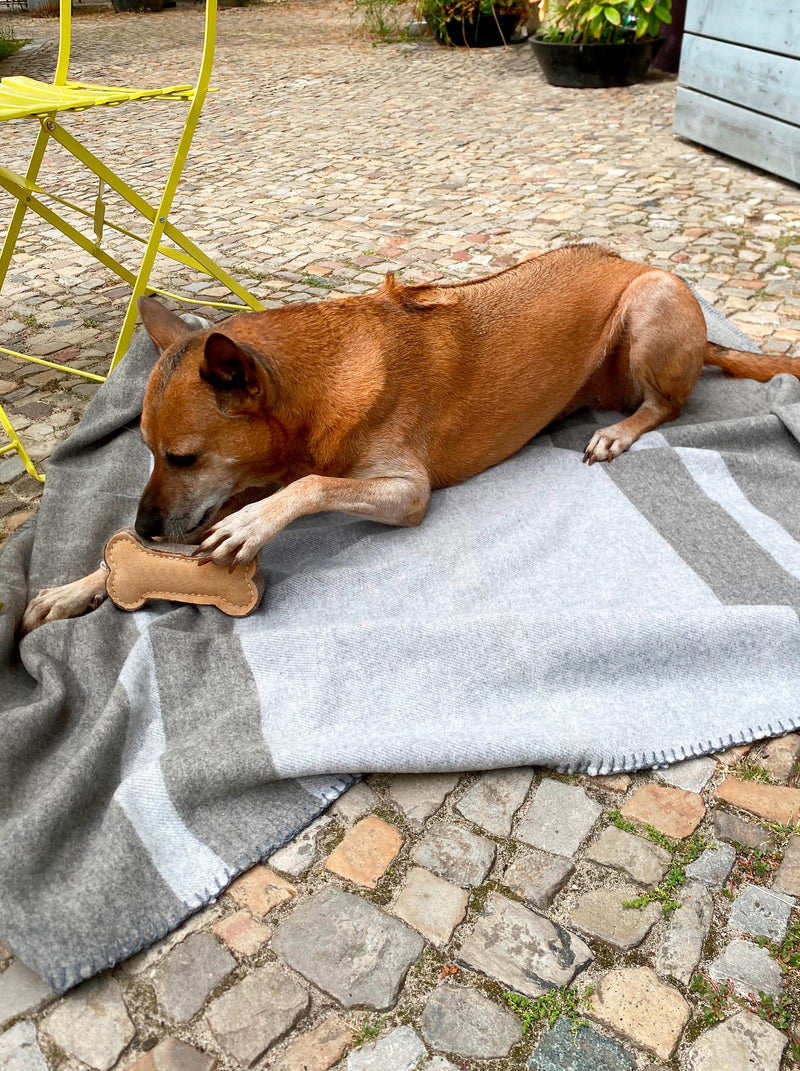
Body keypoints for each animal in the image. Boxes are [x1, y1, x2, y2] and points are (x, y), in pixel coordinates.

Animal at [20, 245, 800, 634]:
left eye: (182, 455)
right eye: (147, 450)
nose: (145, 526)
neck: (316, 385)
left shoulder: (404, 489)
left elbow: (311, 486)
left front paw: (253, 527)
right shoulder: (231, 484)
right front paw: (77, 587)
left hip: (652, 299)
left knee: (667, 403)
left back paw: (618, 431)